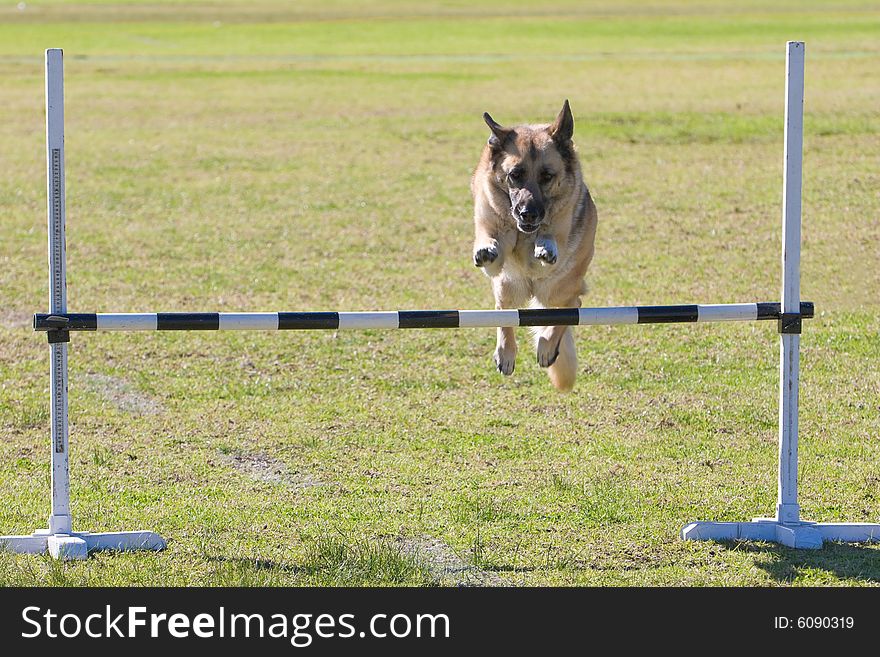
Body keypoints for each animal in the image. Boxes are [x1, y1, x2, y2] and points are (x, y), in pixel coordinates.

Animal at [474, 98, 600, 390]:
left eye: (547, 176)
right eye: (514, 175)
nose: (528, 214)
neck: (521, 234)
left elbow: (548, 242)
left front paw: (544, 247)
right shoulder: (494, 252)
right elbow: (490, 242)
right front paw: (487, 248)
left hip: (556, 289)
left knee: (573, 304)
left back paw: (546, 347)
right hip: (507, 287)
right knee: (504, 315)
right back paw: (506, 353)